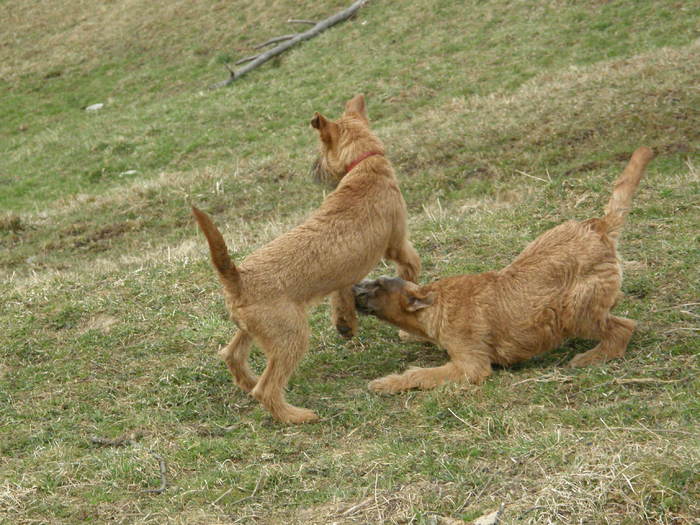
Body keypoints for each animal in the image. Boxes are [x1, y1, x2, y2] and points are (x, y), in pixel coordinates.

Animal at [191, 93, 418, 422]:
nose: (314, 170)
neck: (365, 165)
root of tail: (236, 277)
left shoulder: (344, 274)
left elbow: (341, 299)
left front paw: (346, 325)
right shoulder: (398, 245)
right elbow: (410, 268)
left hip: (254, 331)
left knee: (232, 356)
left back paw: (249, 383)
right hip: (292, 336)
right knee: (267, 389)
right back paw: (295, 415)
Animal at [352, 145, 652, 390]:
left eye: (378, 285)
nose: (353, 287)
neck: (435, 301)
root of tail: (598, 227)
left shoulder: (471, 366)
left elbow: (420, 374)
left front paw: (387, 382)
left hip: (574, 311)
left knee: (623, 328)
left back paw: (591, 356)